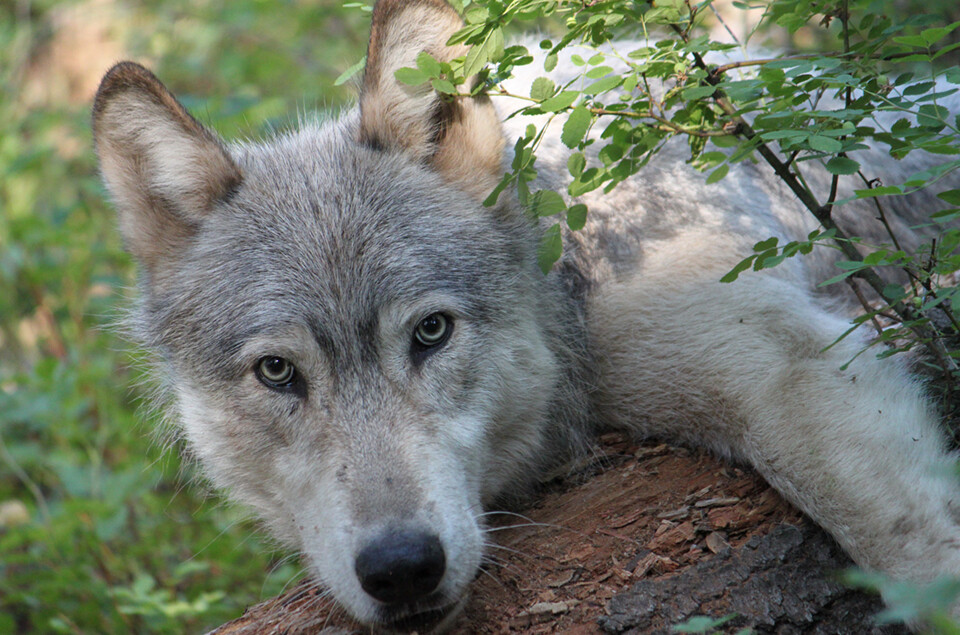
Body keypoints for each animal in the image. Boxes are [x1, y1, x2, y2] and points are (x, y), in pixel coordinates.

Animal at [94, 0, 960, 632]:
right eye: (278, 371)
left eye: (431, 332)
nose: (402, 567)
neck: (572, 260)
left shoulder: (778, 364)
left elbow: (913, 551)